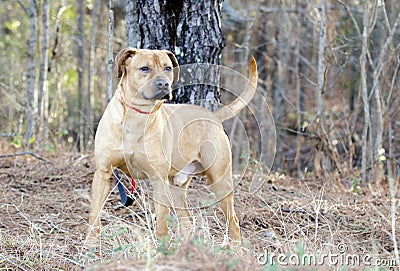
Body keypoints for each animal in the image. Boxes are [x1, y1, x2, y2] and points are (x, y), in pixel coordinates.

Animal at [86, 47, 260, 245]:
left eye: (168, 68)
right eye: (144, 68)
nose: (163, 84)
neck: (136, 115)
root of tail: (212, 116)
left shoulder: (158, 179)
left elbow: (162, 224)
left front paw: (162, 248)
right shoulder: (103, 173)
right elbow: (94, 215)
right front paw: (89, 244)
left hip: (220, 180)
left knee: (233, 222)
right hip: (177, 186)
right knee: (187, 221)